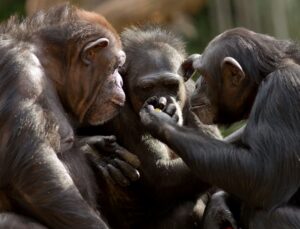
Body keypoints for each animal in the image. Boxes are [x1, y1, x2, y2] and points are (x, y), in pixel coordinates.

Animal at [0, 4, 140, 229]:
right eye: (116, 66)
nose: (119, 81)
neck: (48, 65)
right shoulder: (21, 73)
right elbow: (34, 170)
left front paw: (97, 152)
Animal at [78, 26, 224, 228]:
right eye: (147, 87)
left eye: (171, 85)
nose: (162, 101)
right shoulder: (118, 111)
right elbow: (160, 174)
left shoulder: (195, 94)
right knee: (188, 209)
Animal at [139, 27, 300, 229]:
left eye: (204, 74)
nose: (197, 84)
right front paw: (219, 205)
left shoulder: (282, 89)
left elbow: (265, 173)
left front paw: (160, 121)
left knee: (268, 215)